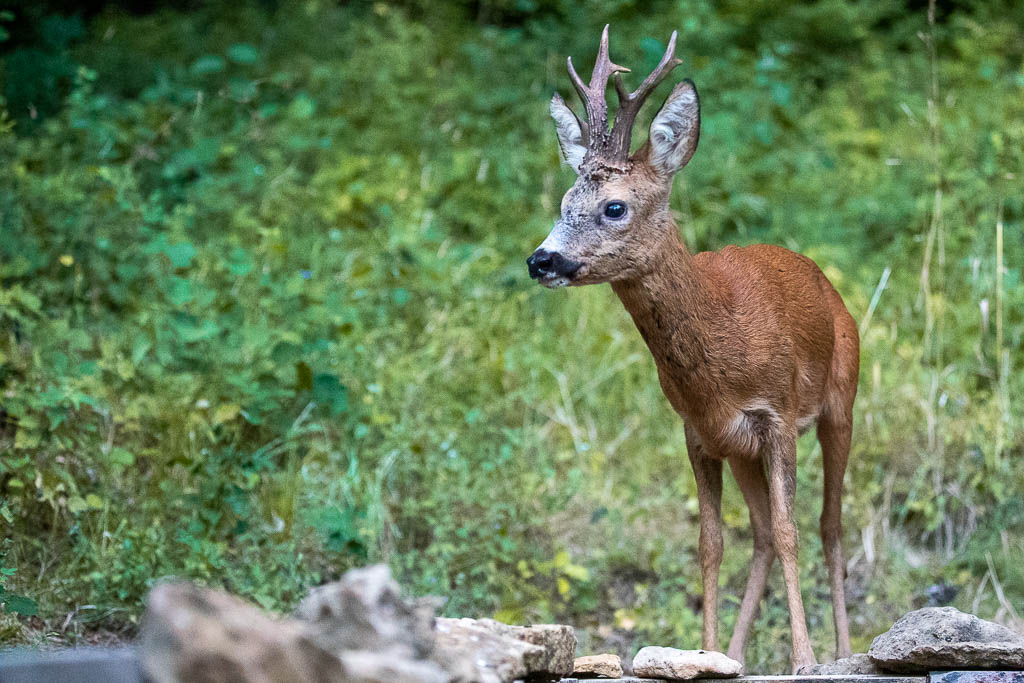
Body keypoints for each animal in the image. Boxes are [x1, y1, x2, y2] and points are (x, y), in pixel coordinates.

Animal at [528, 25, 856, 667]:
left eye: (614, 206)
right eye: (563, 204)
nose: (541, 260)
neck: (719, 361)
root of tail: (828, 285)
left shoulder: (777, 414)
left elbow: (792, 532)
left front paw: (804, 658)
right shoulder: (699, 431)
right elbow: (711, 543)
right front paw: (704, 653)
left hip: (841, 401)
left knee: (828, 525)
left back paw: (842, 648)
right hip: (743, 451)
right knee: (758, 534)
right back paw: (735, 653)